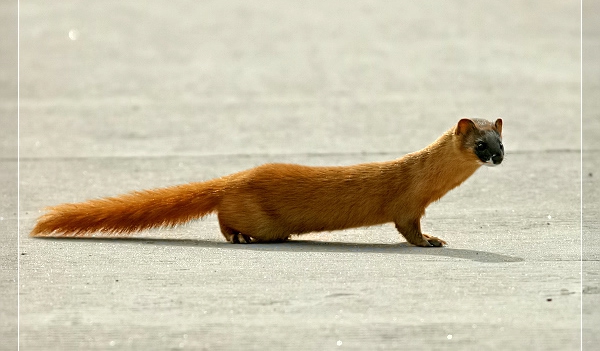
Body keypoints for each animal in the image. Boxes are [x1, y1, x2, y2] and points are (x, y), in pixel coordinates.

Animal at [30, 118, 504, 248]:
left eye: (502, 140)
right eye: (480, 143)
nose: (498, 157)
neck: (429, 179)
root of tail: (236, 176)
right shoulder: (407, 203)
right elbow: (408, 228)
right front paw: (431, 241)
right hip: (251, 211)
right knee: (224, 218)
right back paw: (240, 237)